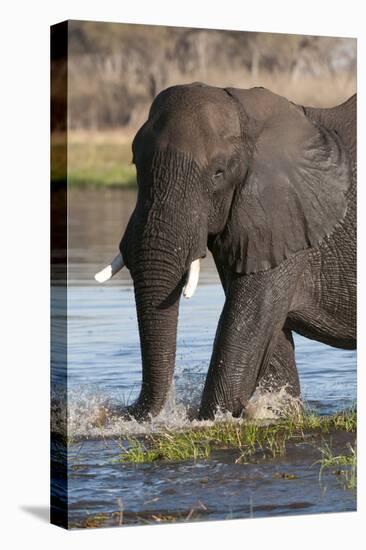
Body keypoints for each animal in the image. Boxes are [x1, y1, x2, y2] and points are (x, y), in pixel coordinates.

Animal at [95, 84, 358, 422]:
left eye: (218, 174)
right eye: (135, 164)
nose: (113, 412)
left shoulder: (287, 221)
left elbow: (247, 324)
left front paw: (212, 417)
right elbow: (270, 335)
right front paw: (276, 410)